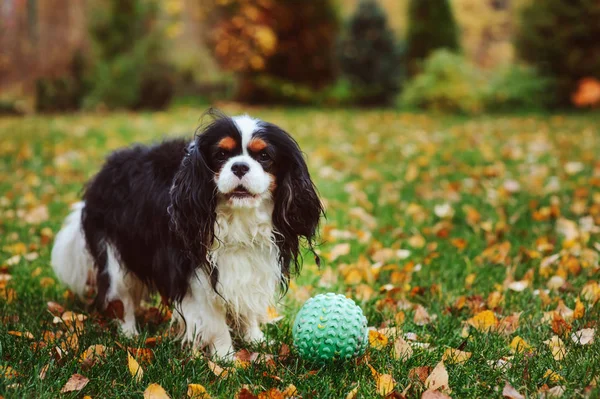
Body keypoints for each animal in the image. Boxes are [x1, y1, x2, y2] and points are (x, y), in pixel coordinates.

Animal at [51, 111, 324, 360]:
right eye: (221, 155)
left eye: (264, 156)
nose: (239, 166)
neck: (238, 219)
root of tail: (105, 170)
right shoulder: (197, 274)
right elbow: (215, 320)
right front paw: (226, 359)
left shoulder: (252, 263)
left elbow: (246, 306)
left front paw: (255, 339)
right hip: (114, 252)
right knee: (121, 297)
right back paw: (129, 334)